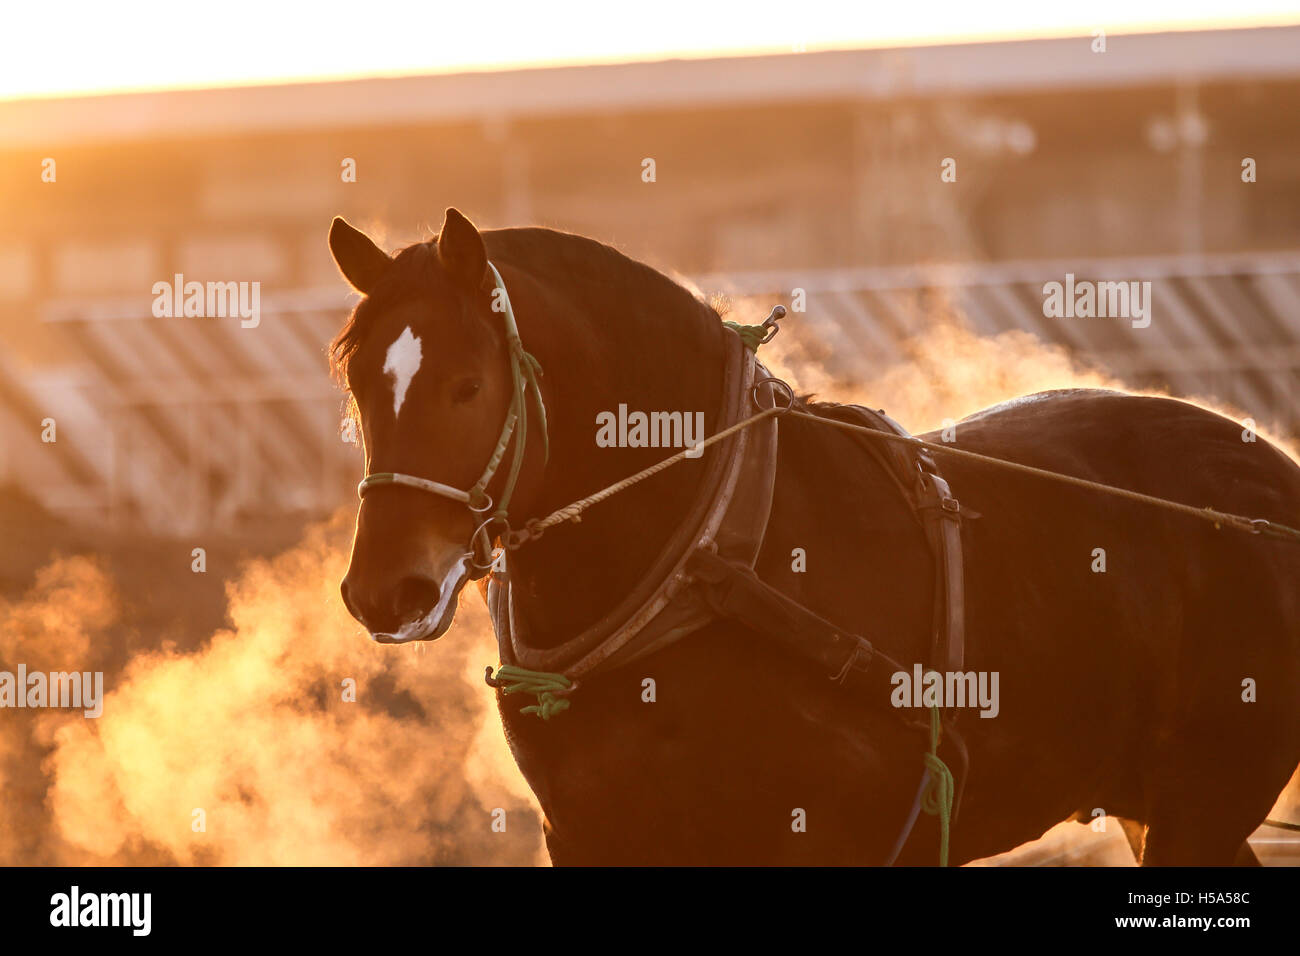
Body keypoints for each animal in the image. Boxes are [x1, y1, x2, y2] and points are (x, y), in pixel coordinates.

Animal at [327, 207, 1300, 865]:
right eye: (359, 384)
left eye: (467, 384)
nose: (386, 590)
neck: (707, 560)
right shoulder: (592, 836)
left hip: (1207, 793)